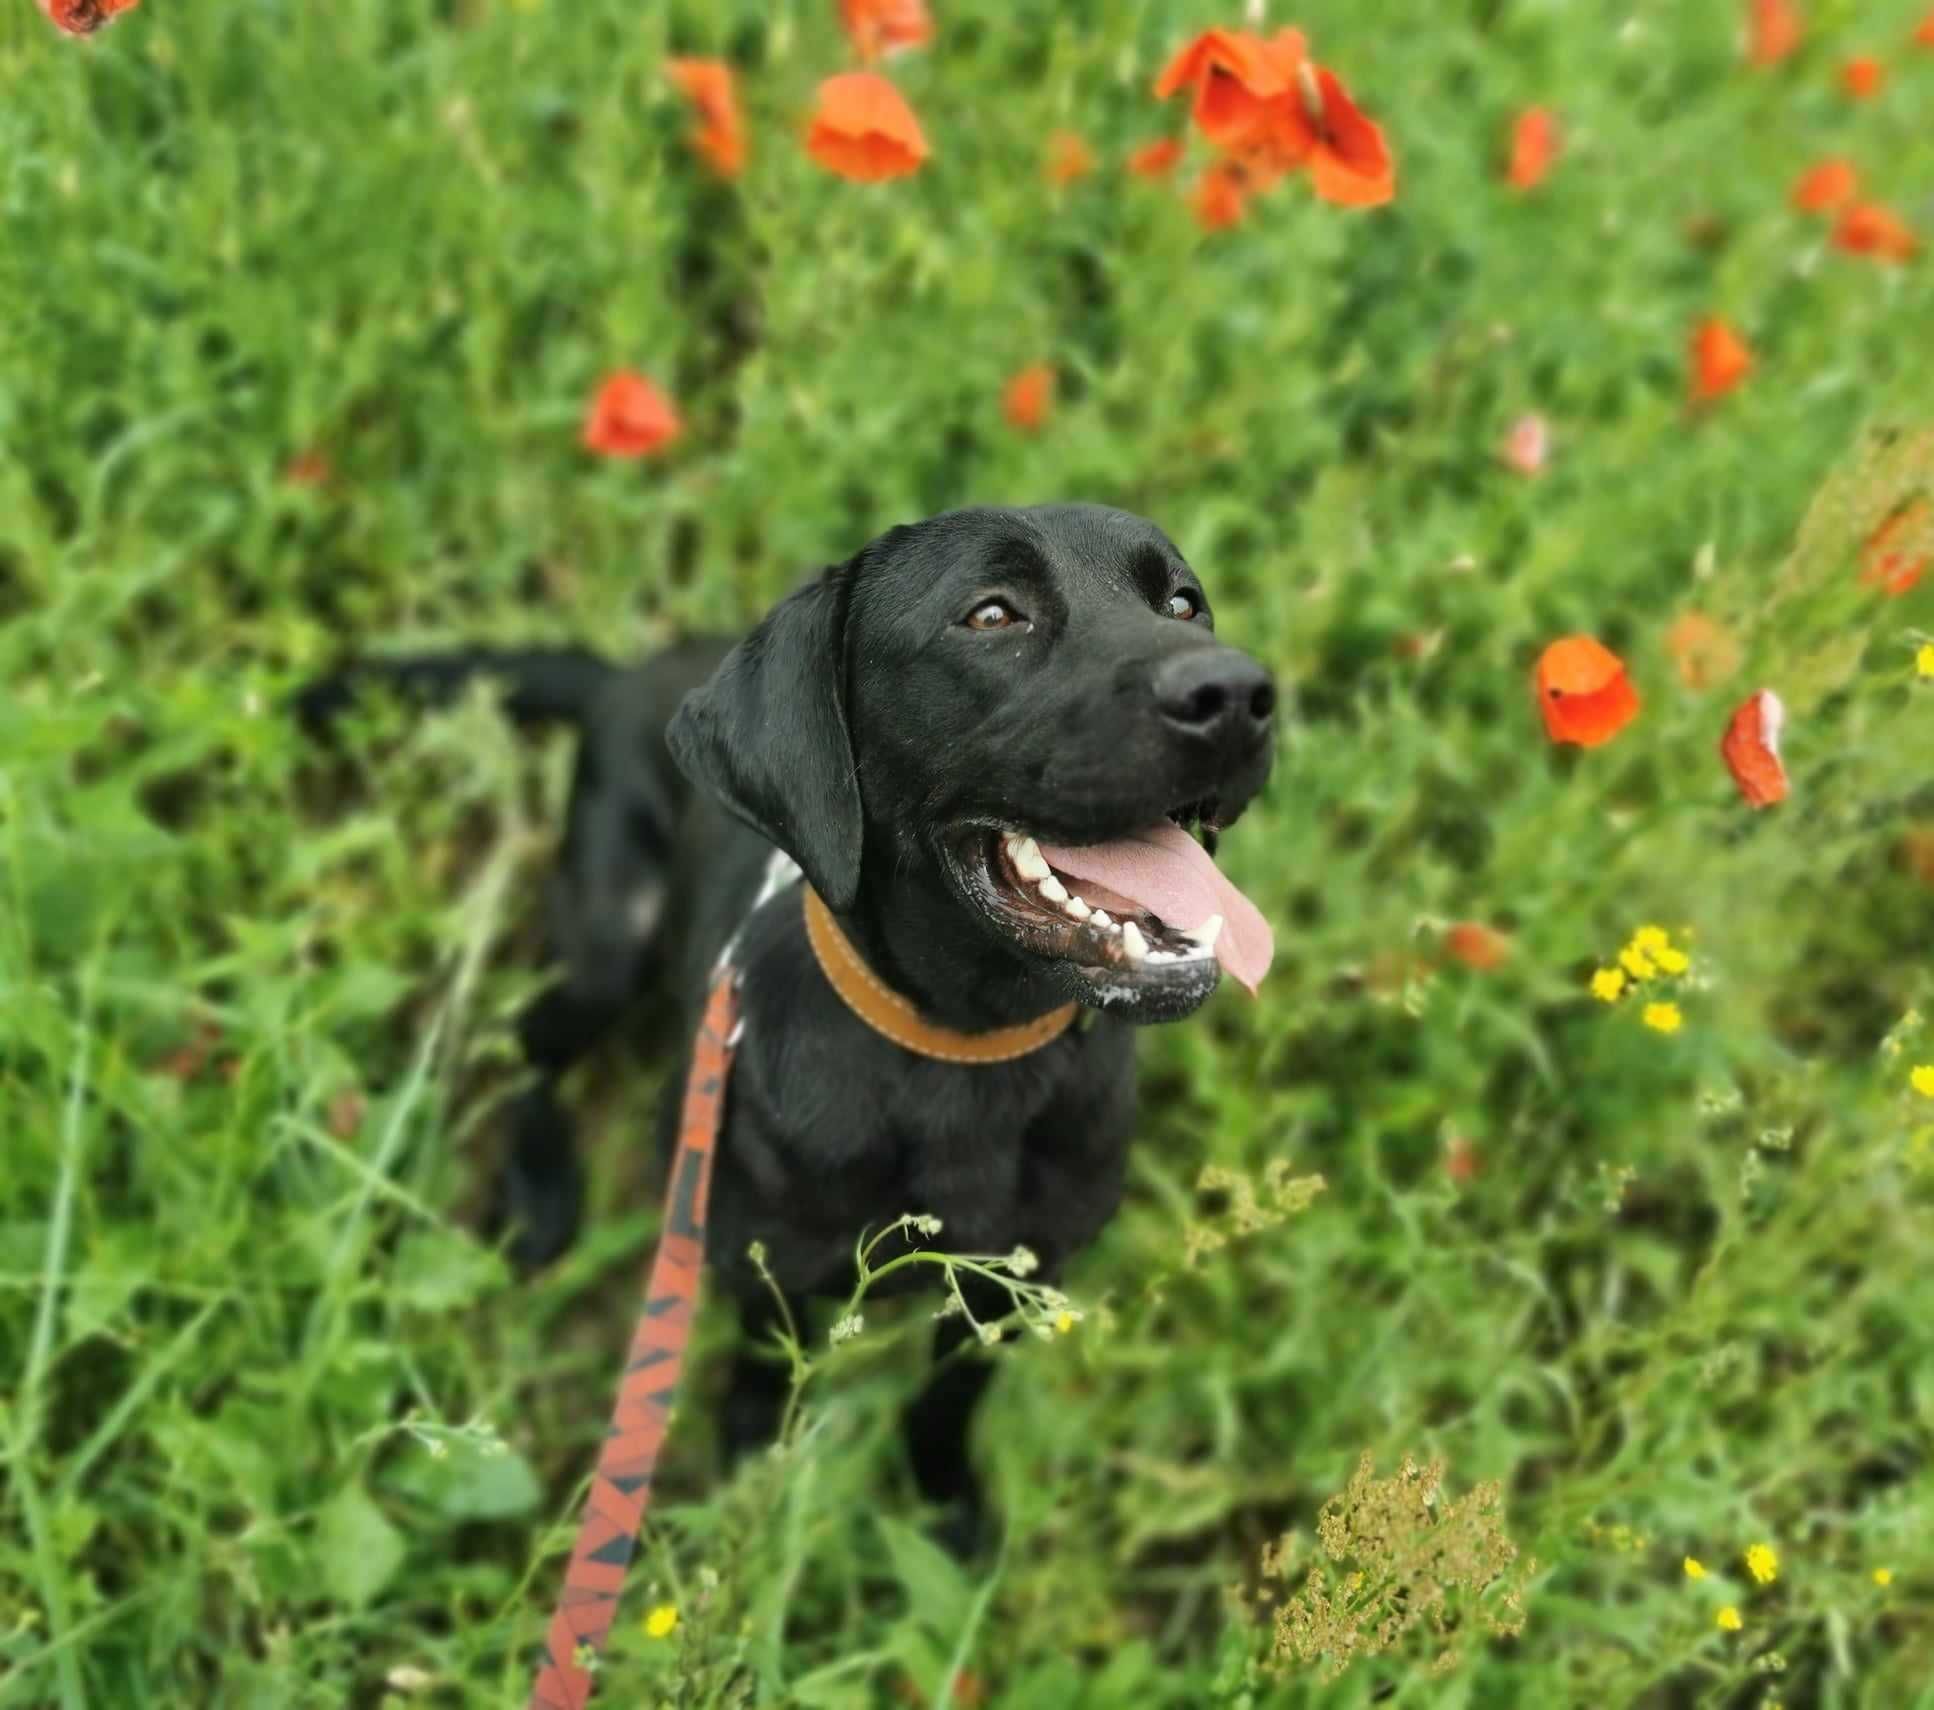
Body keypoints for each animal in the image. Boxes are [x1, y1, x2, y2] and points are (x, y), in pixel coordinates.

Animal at [293, 499, 1276, 1539]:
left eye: (1184, 601)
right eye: (991, 615)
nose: (1239, 694)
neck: (959, 1052)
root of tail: (624, 677)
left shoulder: (1024, 1274)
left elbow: (948, 1395)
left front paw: (944, 1502)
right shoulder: (759, 1261)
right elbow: (764, 1368)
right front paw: (752, 1466)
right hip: (606, 941)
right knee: (528, 1047)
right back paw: (539, 1192)